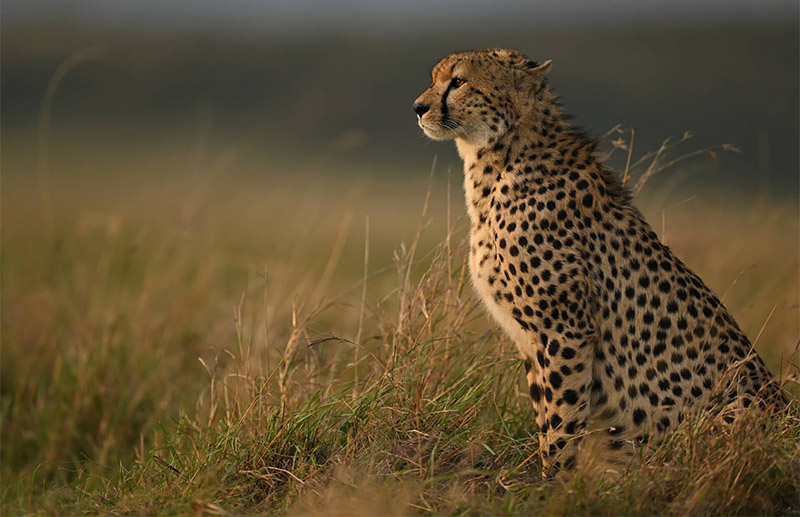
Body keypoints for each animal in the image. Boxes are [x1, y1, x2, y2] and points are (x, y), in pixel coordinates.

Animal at [412, 48, 784, 477]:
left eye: (459, 82)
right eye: (435, 79)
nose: (418, 107)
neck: (499, 160)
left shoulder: (565, 330)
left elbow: (561, 419)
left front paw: (553, 481)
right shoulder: (531, 339)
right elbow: (544, 412)